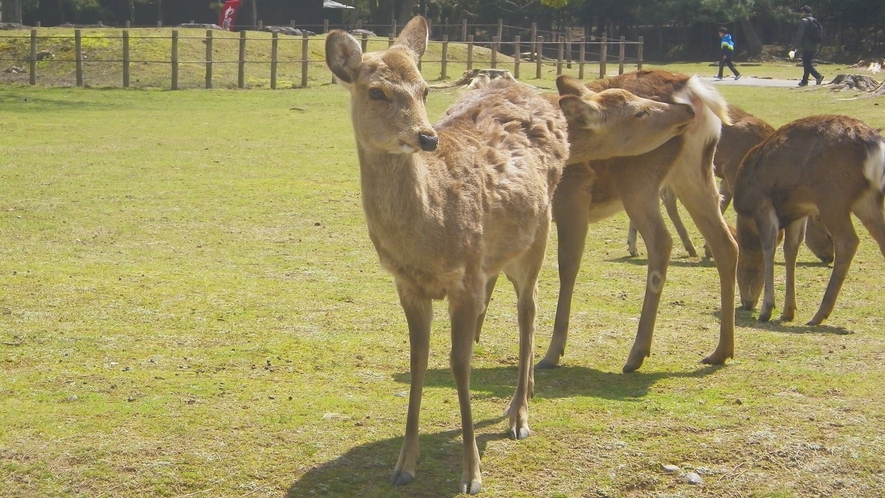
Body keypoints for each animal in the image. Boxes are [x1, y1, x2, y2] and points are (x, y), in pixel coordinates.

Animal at [322, 15, 696, 494]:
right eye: (376, 92)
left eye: (424, 89)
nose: (426, 137)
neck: (426, 236)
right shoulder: (407, 285)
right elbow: (417, 359)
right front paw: (404, 464)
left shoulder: (465, 279)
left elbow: (460, 364)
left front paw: (472, 473)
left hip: (536, 236)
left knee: (528, 310)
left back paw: (520, 413)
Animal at [540, 70, 740, 374]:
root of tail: (691, 88)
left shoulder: (572, 196)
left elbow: (566, 265)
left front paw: (554, 352)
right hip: (695, 173)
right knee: (725, 243)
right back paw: (720, 351)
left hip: (638, 178)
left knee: (661, 241)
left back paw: (636, 354)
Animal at [732, 115, 884, 326]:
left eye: (738, 270)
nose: (746, 303)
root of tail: (875, 146)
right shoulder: (799, 211)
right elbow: (791, 249)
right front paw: (788, 311)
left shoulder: (762, 204)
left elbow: (769, 246)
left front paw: (767, 310)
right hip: (867, 199)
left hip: (832, 197)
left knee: (847, 241)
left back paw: (818, 315)